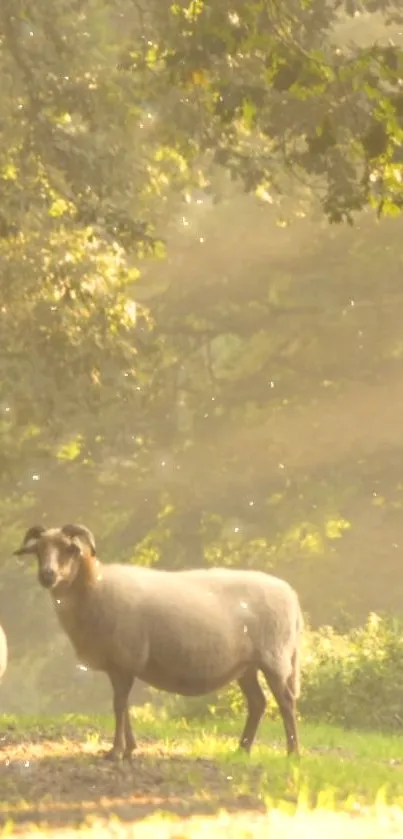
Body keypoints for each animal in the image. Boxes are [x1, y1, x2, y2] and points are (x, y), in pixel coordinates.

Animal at [13, 528, 304, 764]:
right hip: (246, 665)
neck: (93, 587)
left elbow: (119, 706)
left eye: (69, 549)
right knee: (258, 703)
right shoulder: (119, 664)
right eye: (38, 550)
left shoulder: (124, 658)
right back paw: (241, 750)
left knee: (286, 702)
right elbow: (123, 705)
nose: (47, 575)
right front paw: (129, 748)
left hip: (274, 657)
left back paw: (293, 753)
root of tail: (292, 596)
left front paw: (116, 752)